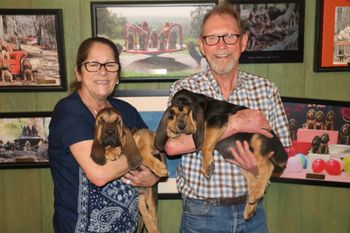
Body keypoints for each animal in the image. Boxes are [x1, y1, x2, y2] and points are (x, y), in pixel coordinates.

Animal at [155, 88, 288, 220]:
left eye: (189, 112)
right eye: (173, 112)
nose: (181, 126)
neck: (204, 106)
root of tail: (282, 153)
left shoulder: (217, 121)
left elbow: (206, 144)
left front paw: (207, 167)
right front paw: (171, 129)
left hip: (258, 138)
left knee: (268, 166)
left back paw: (257, 193)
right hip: (245, 165)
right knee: (255, 179)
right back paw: (250, 206)